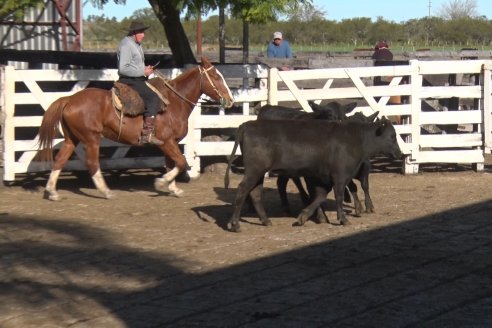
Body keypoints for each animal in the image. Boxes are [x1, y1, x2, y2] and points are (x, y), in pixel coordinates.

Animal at [38, 57, 234, 200]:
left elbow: (172, 163)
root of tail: (69, 99)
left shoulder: (169, 143)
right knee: (92, 163)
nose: (230, 100)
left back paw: (52, 192)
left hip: (72, 138)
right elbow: (180, 162)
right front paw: (161, 183)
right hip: (91, 138)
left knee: (60, 160)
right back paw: (106, 191)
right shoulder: (166, 142)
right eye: (216, 77)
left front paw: (173, 189)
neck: (174, 103)